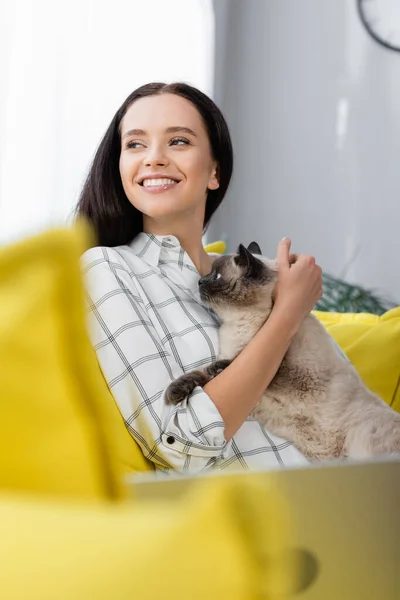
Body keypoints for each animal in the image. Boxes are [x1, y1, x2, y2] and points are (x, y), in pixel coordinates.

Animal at [165, 241, 400, 462]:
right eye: (209, 273)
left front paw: (217, 370)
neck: (238, 324)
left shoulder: (287, 372)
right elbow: (201, 374)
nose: (200, 281)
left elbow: (223, 367)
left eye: (217, 275)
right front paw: (172, 394)